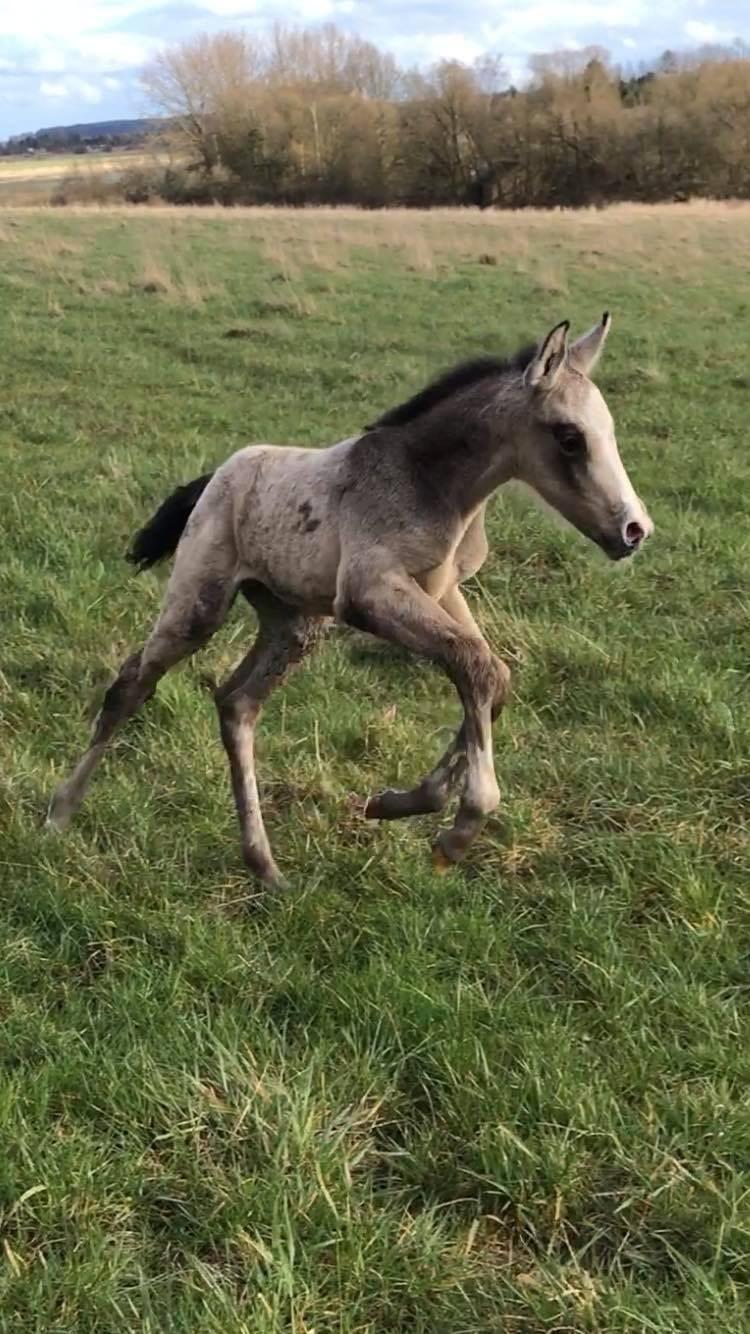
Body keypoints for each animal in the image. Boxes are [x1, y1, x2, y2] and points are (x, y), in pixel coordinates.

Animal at [49, 313, 651, 891]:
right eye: (569, 436)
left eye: (610, 430)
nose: (634, 530)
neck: (430, 482)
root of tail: (218, 473)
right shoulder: (369, 593)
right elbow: (475, 666)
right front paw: (457, 830)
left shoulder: (443, 591)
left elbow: (490, 674)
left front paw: (398, 803)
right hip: (200, 605)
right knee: (132, 686)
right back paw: (59, 814)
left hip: (296, 624)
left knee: (237, 706)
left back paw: (266, 868)